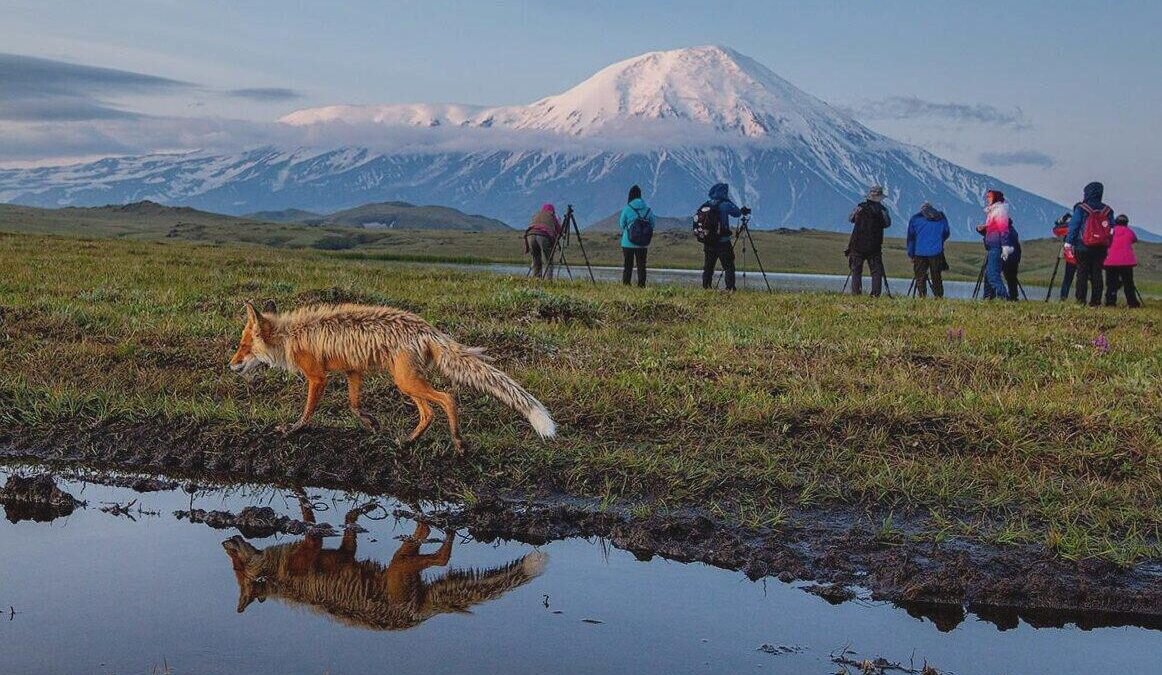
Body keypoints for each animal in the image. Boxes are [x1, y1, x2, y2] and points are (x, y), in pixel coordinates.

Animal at [228, 299, 555, 448]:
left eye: (244, 347)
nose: (230, 365)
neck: (291, 337)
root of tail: (429, 329)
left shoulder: (317, 378)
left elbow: (307, 413)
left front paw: (292, 431)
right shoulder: (353, 371)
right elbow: (354, 404)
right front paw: (371, 424)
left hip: (405, 381)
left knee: (447, 399)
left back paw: (457, 441)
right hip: (407, 383)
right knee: (428, 413)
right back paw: (409, 441)